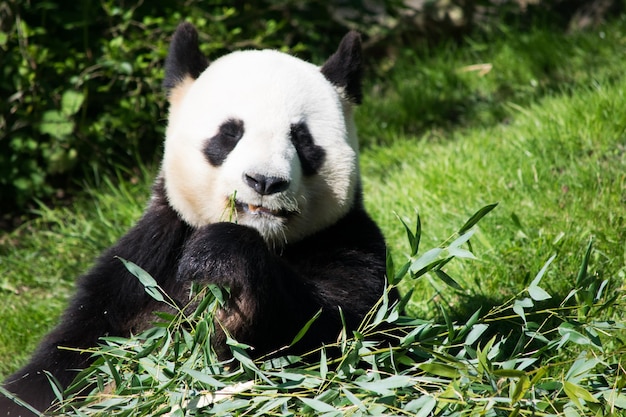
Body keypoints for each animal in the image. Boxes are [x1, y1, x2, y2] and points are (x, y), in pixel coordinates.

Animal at [0, 23, 392, 416]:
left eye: (302, 139)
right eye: (229, 134)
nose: (264, 181)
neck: (268, 239)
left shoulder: (345, 241)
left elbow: (345, 334)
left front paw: (222, 270)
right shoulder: (144, 263)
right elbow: (68, 356)